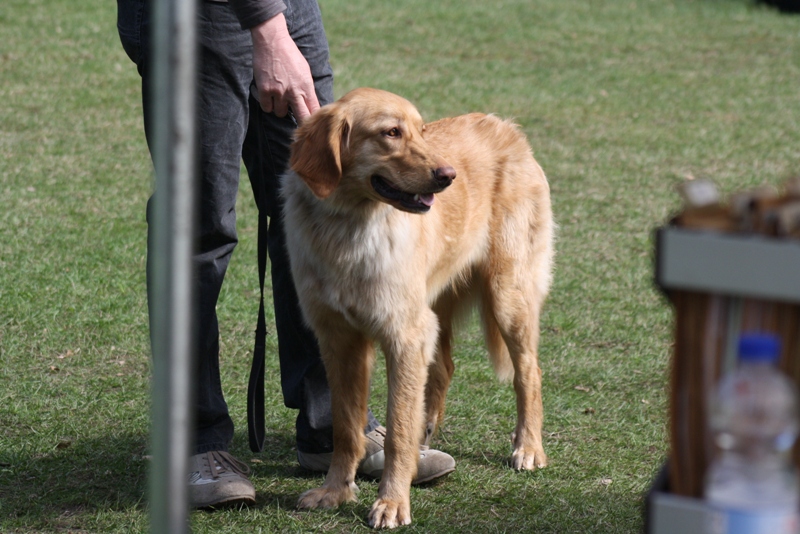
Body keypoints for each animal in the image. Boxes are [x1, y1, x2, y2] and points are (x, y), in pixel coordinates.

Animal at [283, 88, 554, 529]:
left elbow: (396, 429)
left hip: (507, 296)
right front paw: (335, 491)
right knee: (443, 368)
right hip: (436, 306)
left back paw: (528, 447)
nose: (448, 176)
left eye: (421, 130)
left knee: (528, 373)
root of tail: (507, 127)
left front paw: (392, 502)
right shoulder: (340, 340)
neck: (349, 228)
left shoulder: (404, 336)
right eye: (391, 132)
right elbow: (345, 429)